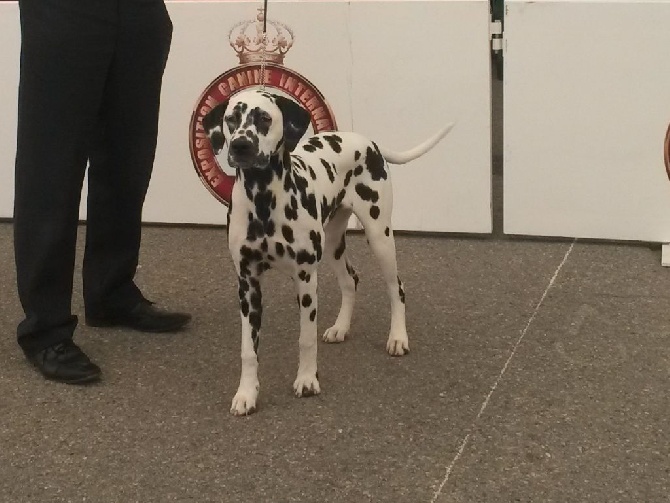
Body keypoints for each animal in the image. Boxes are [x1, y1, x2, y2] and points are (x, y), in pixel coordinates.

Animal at [203, 87, 456, 418]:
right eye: (231, 119)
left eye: (264, 118)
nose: (240, 146)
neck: (264, 200)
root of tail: (367, 141)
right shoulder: (248, 285)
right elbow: (248, 349)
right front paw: (246, 394)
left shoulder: (305, 278)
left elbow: (306, 338)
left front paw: (307, 380)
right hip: (334, 244)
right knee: (351, 280)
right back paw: (340, 328)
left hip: (380, 236)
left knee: (396, 288)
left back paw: (398, 338)